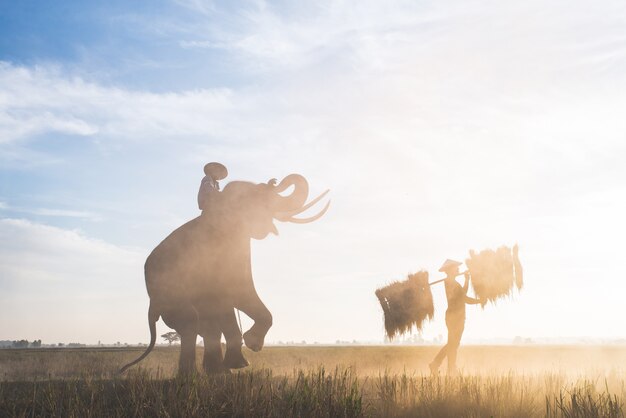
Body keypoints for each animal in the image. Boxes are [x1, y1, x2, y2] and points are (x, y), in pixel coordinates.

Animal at [119, 173, 330, 376]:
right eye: (261, 192)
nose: (275, 180)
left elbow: (238, 294)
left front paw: (247, 349)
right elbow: (234, 294)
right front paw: (248, 352)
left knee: (207, 326)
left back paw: (218, 372)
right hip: (168, 295)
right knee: (191, 320)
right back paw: (192, 375)